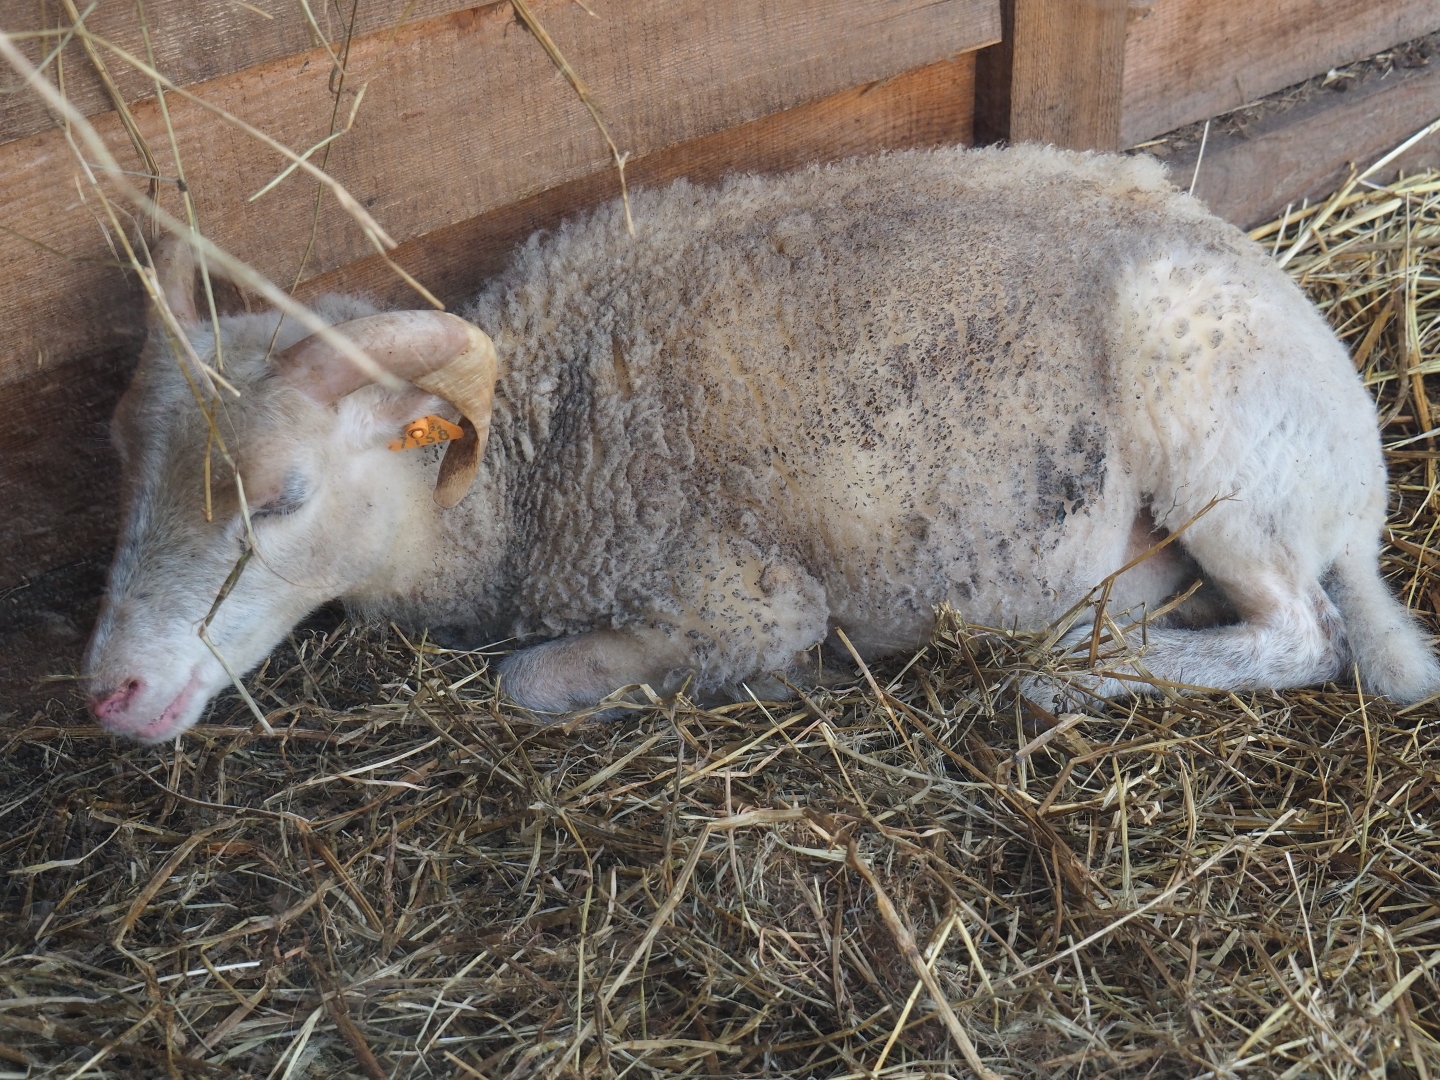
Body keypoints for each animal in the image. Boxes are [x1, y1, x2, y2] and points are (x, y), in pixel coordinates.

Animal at [85, 144, 1440, 743]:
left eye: (279, 496)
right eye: (125, 476)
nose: (110, 693)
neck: (537, 453)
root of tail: (1362, 475)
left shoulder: (744, 598)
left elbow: (532, 682)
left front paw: (785, 679)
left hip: (1212, 430)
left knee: (1303, 636)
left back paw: (1076, 668)